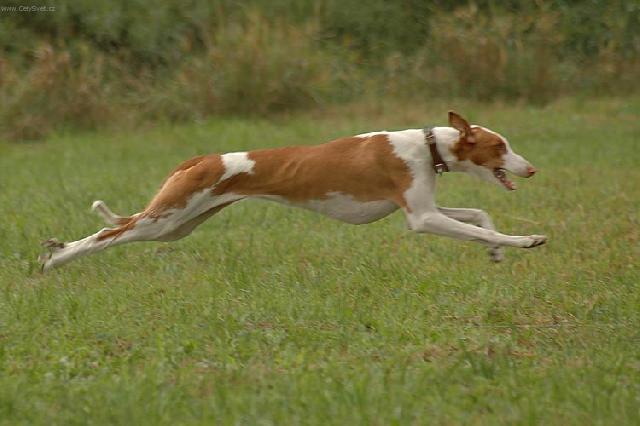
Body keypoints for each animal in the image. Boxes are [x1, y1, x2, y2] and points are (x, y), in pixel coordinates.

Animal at [38, 111, 544, 272]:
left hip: (178, 225)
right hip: (165, 218)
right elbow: (485, 227)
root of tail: (201, 159)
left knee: (115, 230)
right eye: (501, 146)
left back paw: (55, 252)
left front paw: (498, 253)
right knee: (107, 236)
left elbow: (479, 217)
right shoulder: (422, 217)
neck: (426, 144)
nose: (532, 168)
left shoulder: (426, 208)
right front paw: (525, 241)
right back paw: (55, 260)